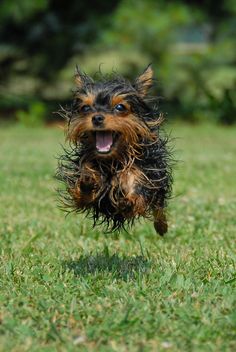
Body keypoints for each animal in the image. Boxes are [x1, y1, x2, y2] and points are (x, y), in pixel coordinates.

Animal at [56, 66, 172, 236]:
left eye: (120, 107)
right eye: (85, 108)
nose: (97, 117)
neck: (112, 160)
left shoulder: (147, 173)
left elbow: (137, 191)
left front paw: (129, 201)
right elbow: (83, 193)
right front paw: (87, 183)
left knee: (158, 205)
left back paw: (161, 226)